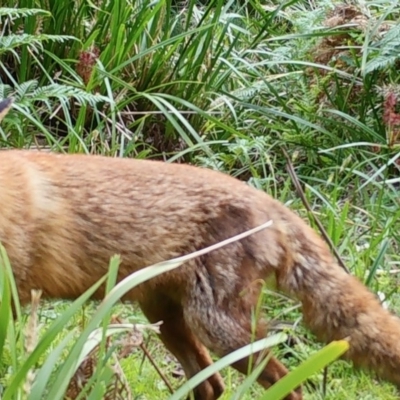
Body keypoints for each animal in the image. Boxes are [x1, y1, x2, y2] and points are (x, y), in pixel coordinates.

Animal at [0, 97, 400, 400]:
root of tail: (270, 203)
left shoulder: (13, 300)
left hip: (217, 327)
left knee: (287, 386)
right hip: (169, 319)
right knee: (211, 386)